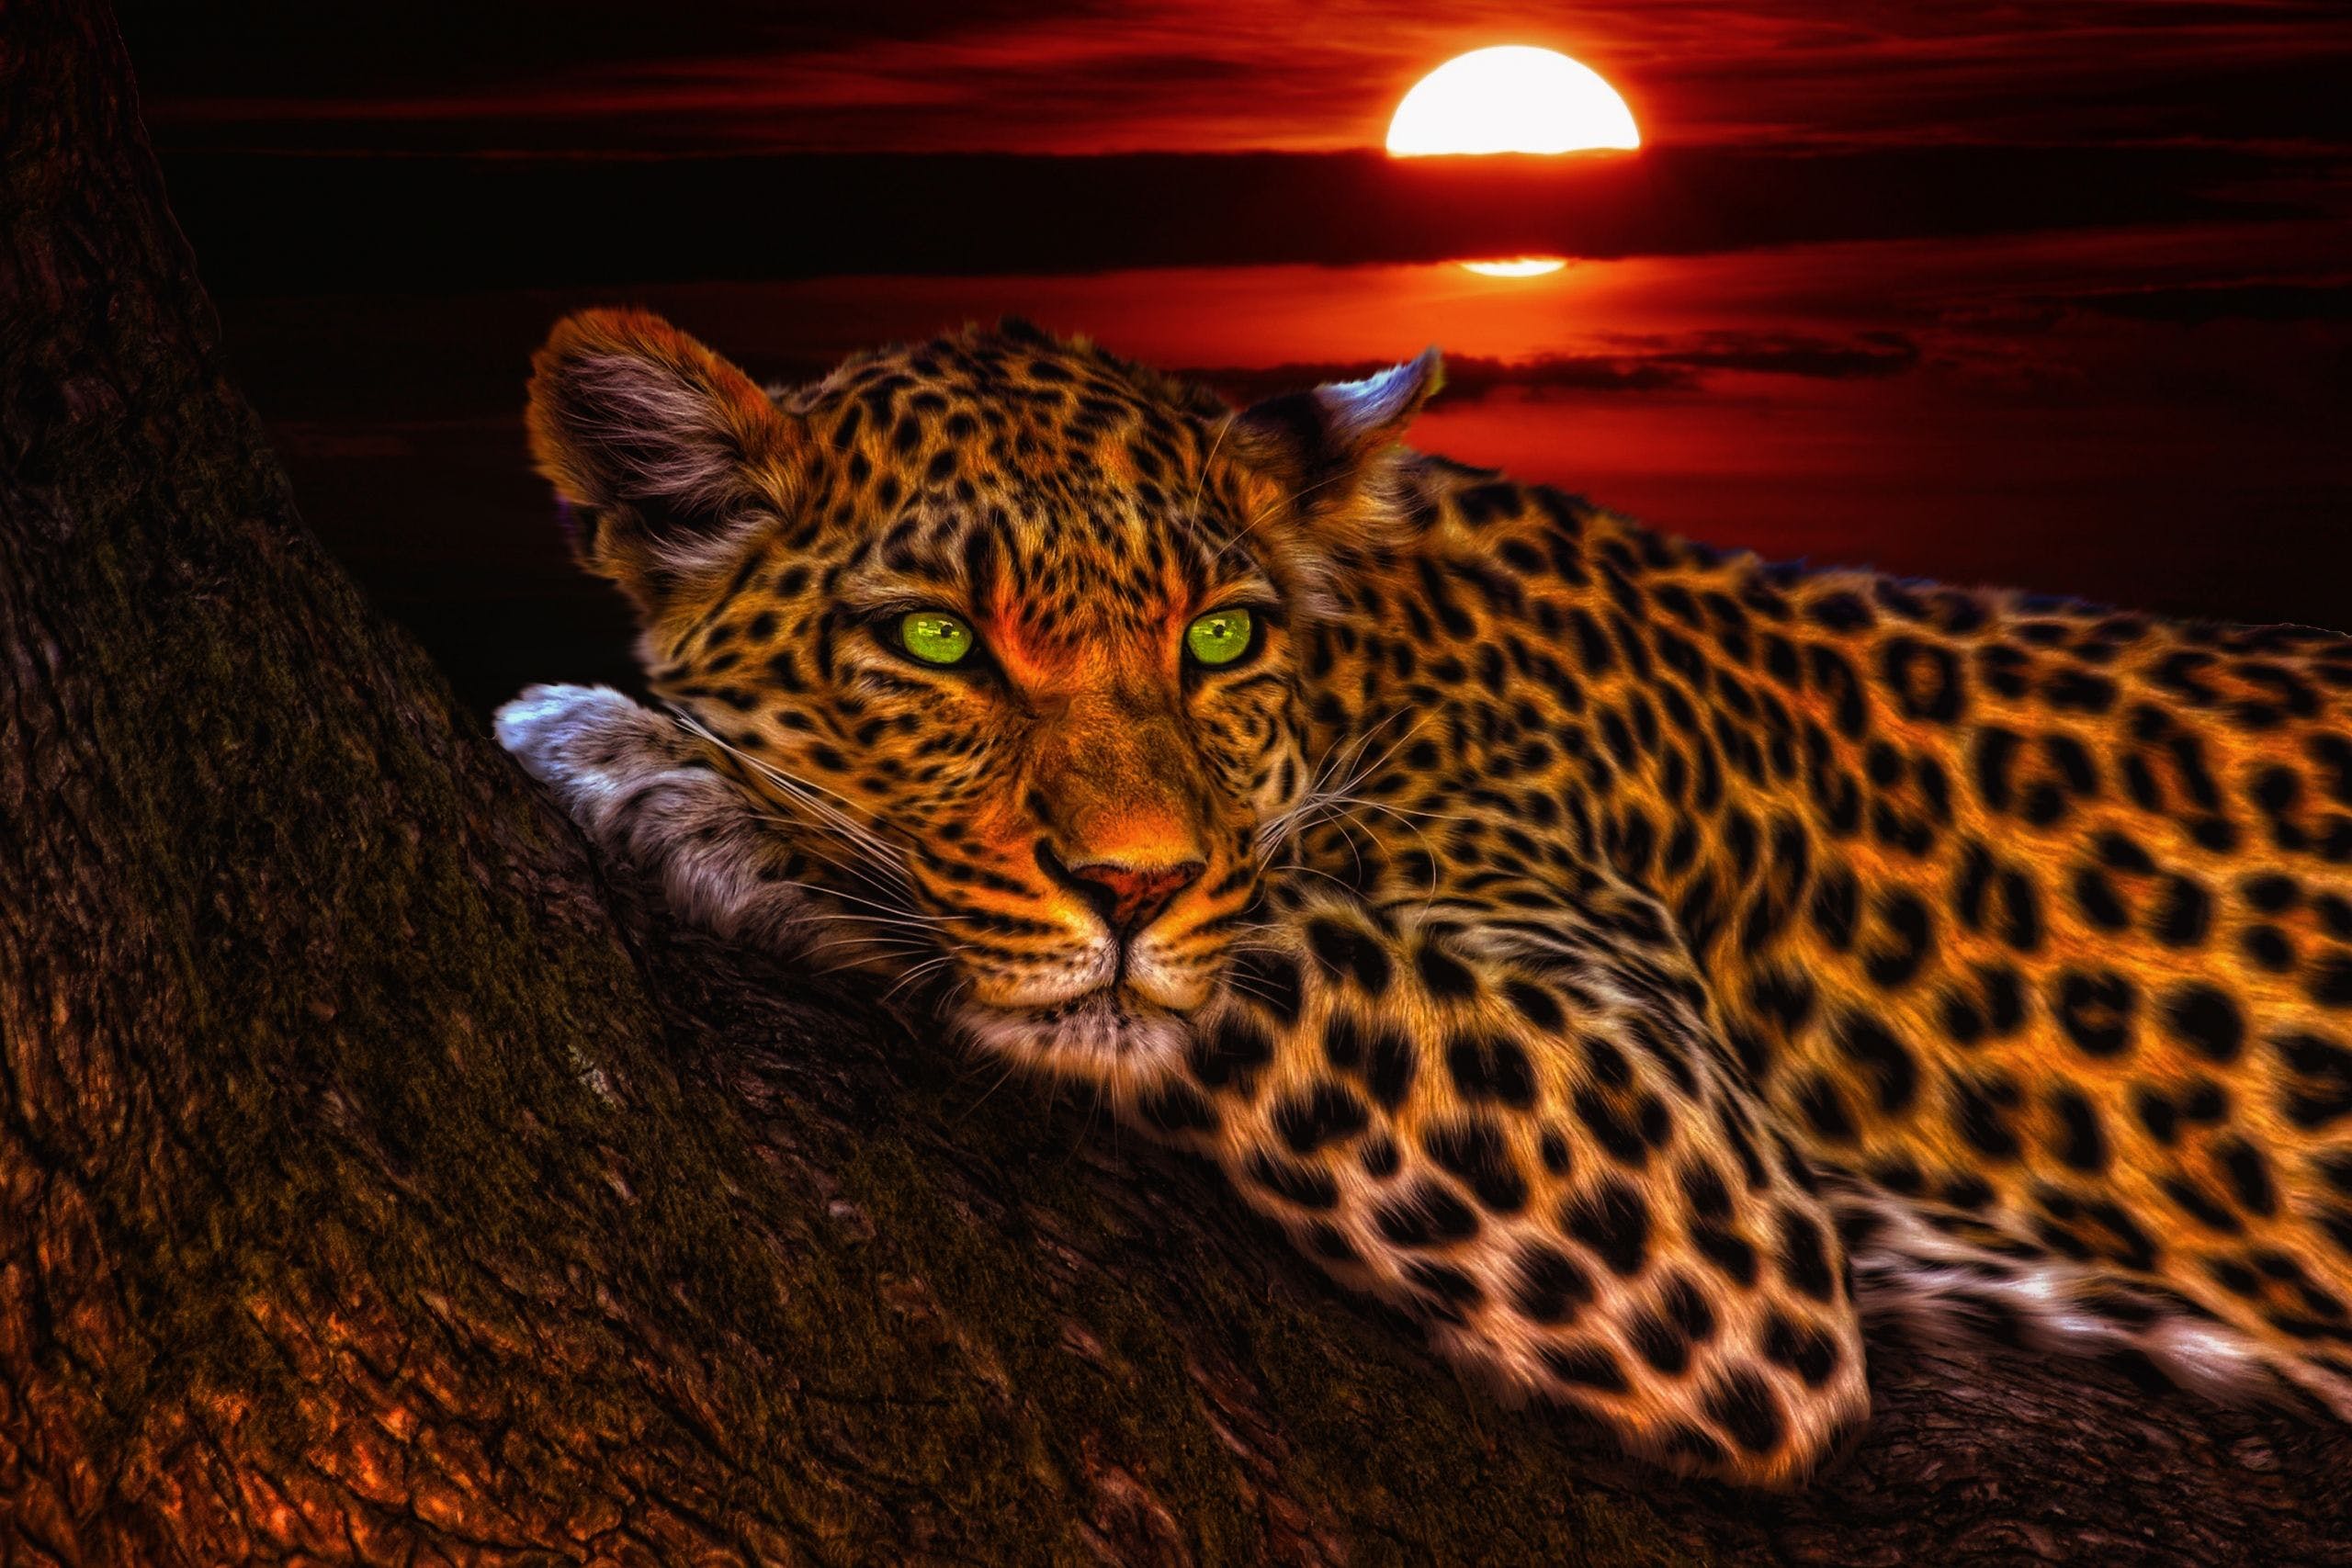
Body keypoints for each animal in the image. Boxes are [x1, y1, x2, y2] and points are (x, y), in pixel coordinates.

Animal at [495, 306, 2352, 1487]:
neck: (1367, 657)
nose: (1131, 882)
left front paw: (659, 766)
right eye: (939, 639)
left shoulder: (1685, 1167)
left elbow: (1259, 952)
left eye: (1218, 635)